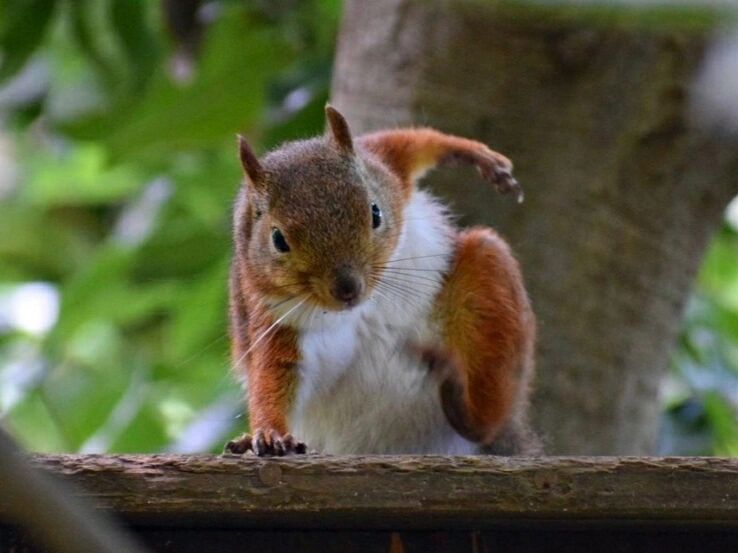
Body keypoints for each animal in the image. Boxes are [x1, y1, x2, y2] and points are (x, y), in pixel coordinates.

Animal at [221, 105, 536, 454]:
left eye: (375, 212)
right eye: (278, 240)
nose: (348, 288)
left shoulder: (382, 164)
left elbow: (409, 143)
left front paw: (476, 154)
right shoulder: (274, 319)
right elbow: (274, 374)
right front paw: (270, 434)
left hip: (488, 282)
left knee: (486, 416)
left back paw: (467, 407)